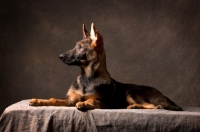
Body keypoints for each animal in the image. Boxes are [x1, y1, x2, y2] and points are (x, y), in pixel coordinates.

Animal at [29, 23, 181, 111]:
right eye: (75, 45)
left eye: (80, 47)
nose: (60, 56)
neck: (87, 77)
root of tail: (164, 96)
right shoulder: (70, 100)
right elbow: (53, 99)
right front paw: (38, 101)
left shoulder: (105, 103)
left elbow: (92, 99)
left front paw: (85, 103)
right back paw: (133, 106)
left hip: (132, 92)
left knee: (155, 106)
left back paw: (136, 105)